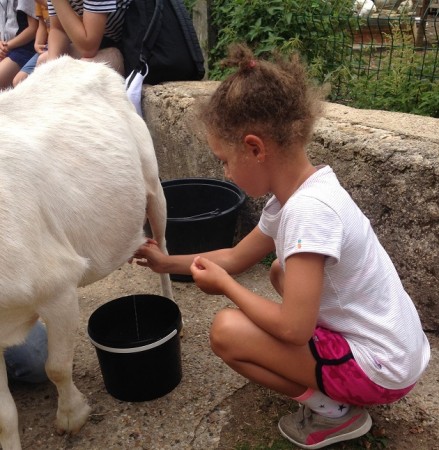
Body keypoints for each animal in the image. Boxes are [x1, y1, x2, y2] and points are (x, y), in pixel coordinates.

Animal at [0, 56, 174, 450]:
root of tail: (87, 63)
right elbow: (3, 413)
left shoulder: (58, 286)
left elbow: (56, 366)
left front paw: (72, 416)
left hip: (152, 180)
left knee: (164, 244)